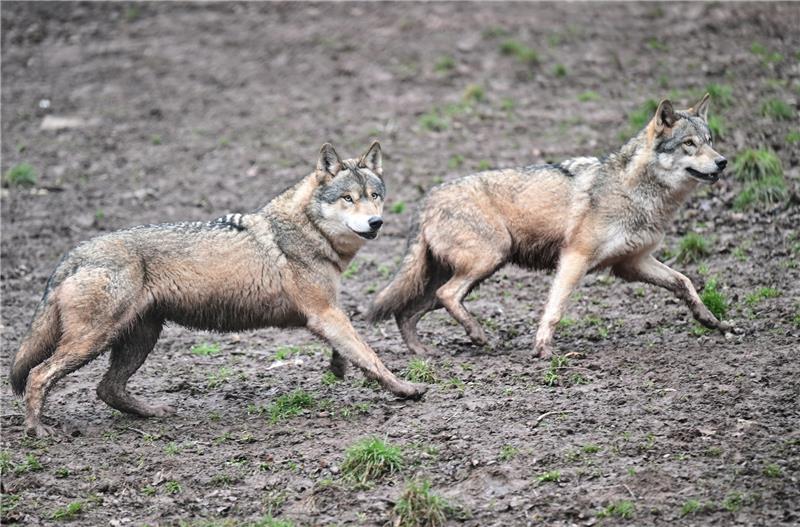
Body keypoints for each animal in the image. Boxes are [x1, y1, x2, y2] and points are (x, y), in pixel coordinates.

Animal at [10, 140, 424, 438]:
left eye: (374, 195)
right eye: (348, 198)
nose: (376, 222)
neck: (306, 230)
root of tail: (74, 253)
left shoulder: (326, 314)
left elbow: (349, 351)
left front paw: (339, 369)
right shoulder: (325, 313)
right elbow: (370, 355)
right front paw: (404, 388)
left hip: (138, 339)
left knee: (106, 389)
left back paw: (154, 413)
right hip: (94, 341)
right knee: (39, 375)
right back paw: (37, 430)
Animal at [368, 94, 732, 358]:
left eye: (710, 140)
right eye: (689, 144)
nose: (723, 162)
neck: (635, 191)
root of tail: (426, 199)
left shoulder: (632, 264)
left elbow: (685, 282)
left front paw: (711, 320)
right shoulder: (574, 257)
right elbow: (555, 308)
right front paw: (542, 348)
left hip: (461, 274)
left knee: (408, 312)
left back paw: (424, 352)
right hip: (488, 260)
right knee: (445, 296)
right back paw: (481, 337)